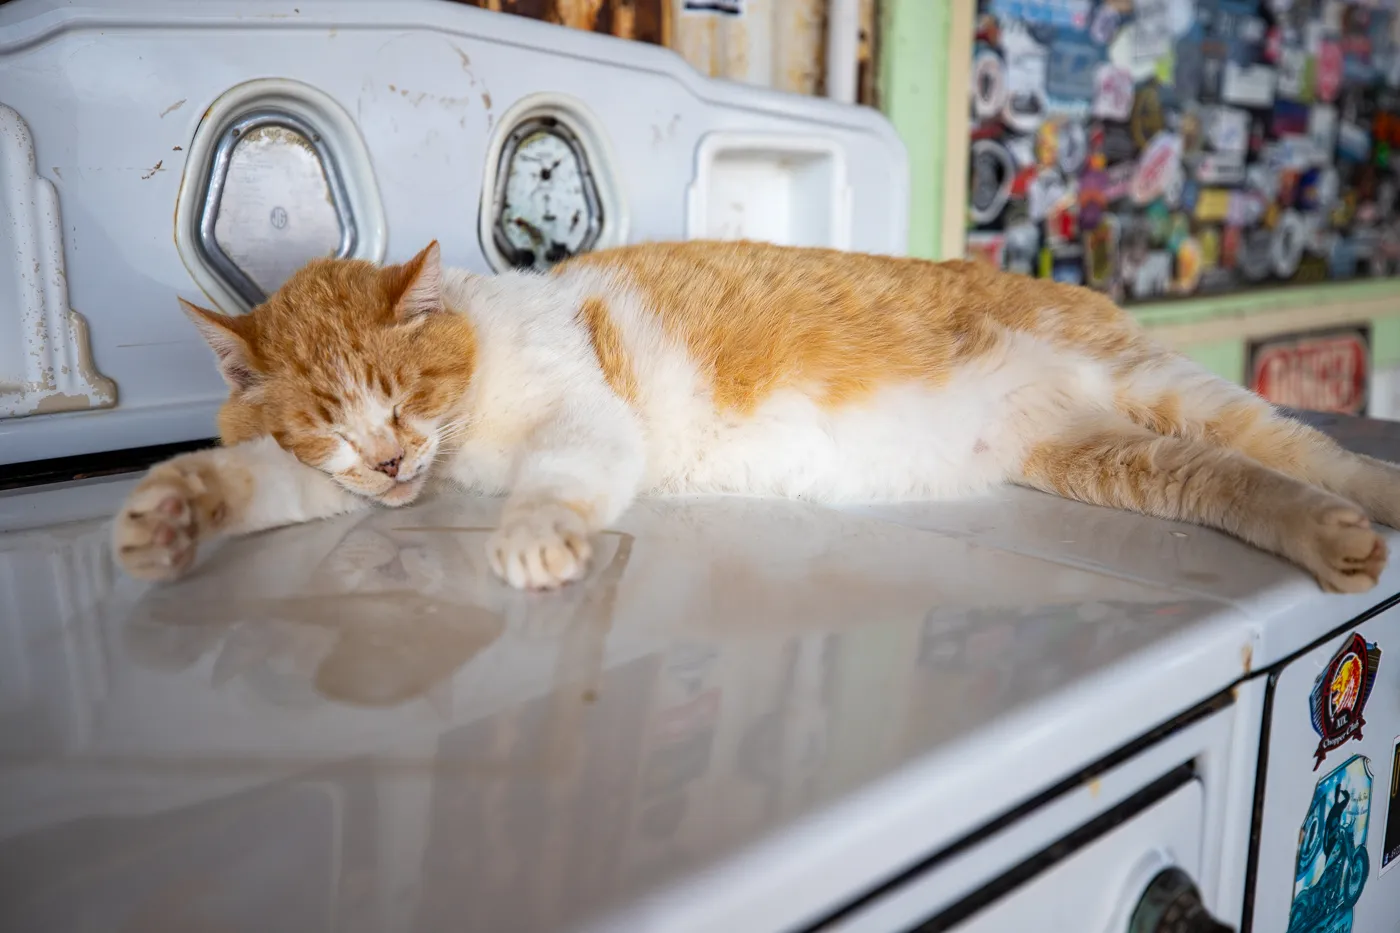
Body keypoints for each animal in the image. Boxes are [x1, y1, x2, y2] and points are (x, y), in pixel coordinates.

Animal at [112, 239, 1400, 588]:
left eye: (405, 394)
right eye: (332, 421)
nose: (385, 464)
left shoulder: (584, 426)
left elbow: (553, 481)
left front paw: (532, 536)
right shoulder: (338, 484)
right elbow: (257, 488)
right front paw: (173, 513)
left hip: (1160, 389)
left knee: (1298, 447)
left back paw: (1364, 504)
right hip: (1107, 457)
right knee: (1239, 482)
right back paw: (1327, 538)